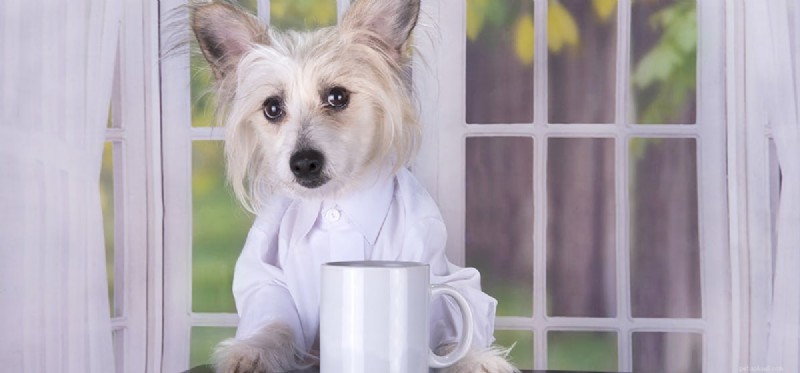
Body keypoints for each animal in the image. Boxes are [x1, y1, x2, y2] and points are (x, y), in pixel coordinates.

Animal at [191, 0, 520, 372]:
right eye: (272, 107)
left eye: (337, 97)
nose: (303, 163)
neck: (336, 202)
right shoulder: (266, 277)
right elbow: (275, 321)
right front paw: (254, 350)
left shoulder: (440, 267)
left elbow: (453, 316)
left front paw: (474, 357)